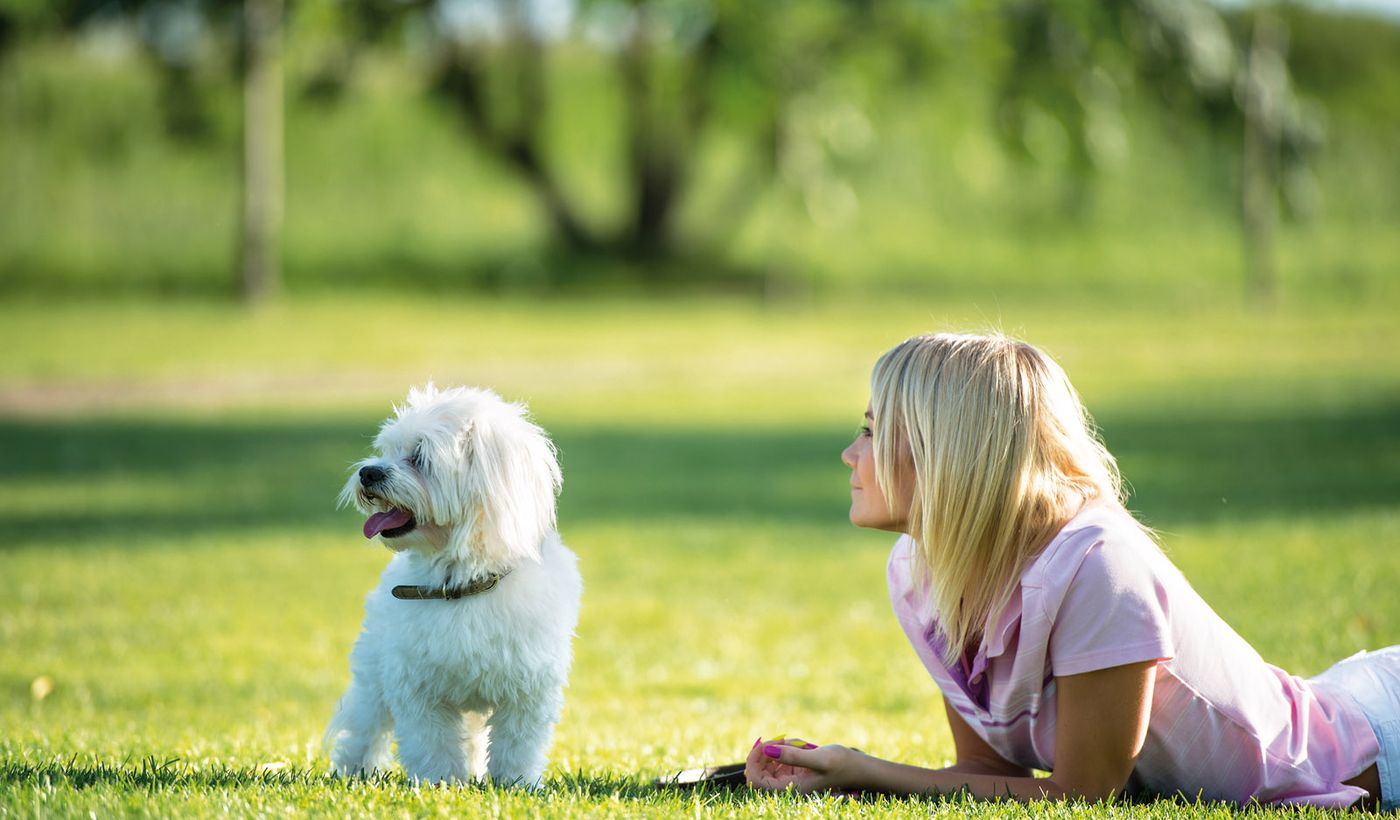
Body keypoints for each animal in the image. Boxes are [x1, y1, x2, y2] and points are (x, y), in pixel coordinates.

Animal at [324, 383, 582, 783]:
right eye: (388, 450)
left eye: (419, 457)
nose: (368, 472)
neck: (460, 583)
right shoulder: (418, 690)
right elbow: (432, 745)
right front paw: (440, 782)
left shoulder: (527, 692)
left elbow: (517, 746)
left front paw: (515, 783)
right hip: (374, 678)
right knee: (364, 726)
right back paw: (354, 770)